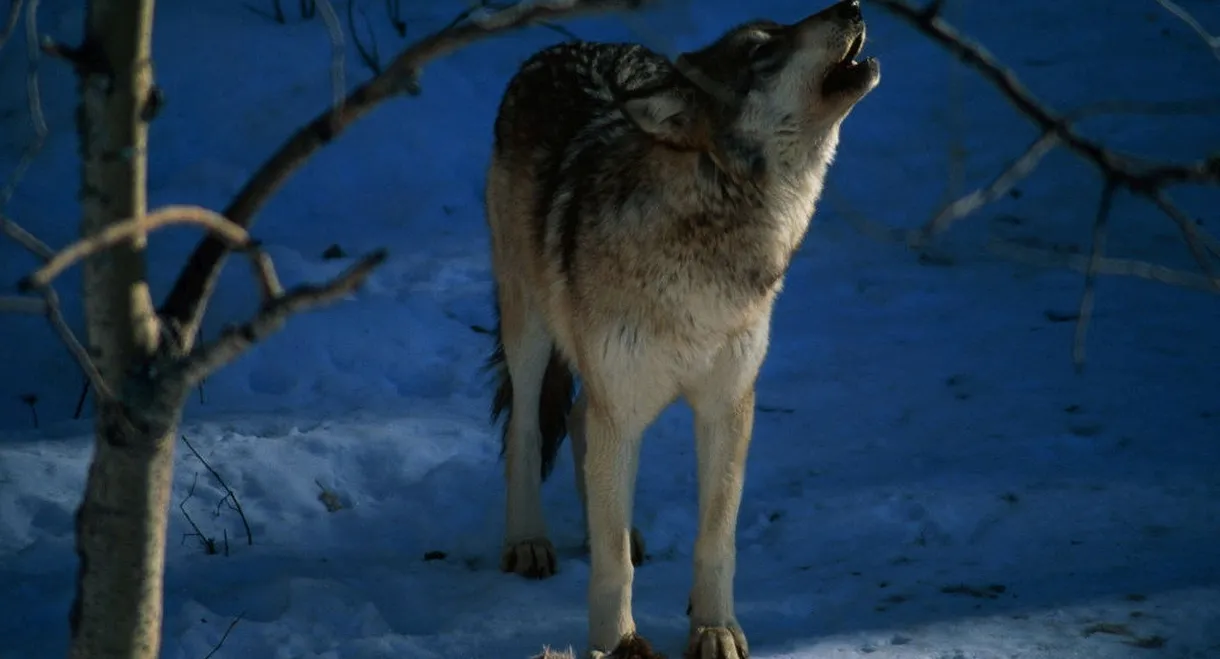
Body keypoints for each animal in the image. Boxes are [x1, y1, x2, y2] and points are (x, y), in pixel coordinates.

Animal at [484, 1, 879, 656]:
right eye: (760, 51)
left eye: (779, 29)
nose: (850, 6)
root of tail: (566, 47)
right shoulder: (621, 408)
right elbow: (612, 566)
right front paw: (618, 643)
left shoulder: (728, 407)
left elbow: (715, 540)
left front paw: (715, 629)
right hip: (531, 328)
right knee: (526, 426)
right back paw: (526, 542)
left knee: (577, 422)